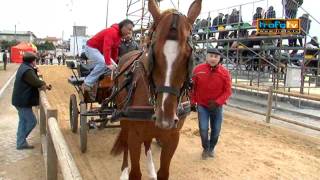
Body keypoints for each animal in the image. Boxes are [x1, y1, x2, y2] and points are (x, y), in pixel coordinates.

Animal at [109, 0, 201, 179]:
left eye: (188, 56)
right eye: (154, 54)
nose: (165, 118)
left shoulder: (173, 137)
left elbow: (163, 172)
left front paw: (154, 170)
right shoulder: (134, 136)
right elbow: (135, 172)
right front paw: (128, 171)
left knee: (148, 141)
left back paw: (151, 167)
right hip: (123, 117)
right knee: (125, 142)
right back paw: (124, 170)